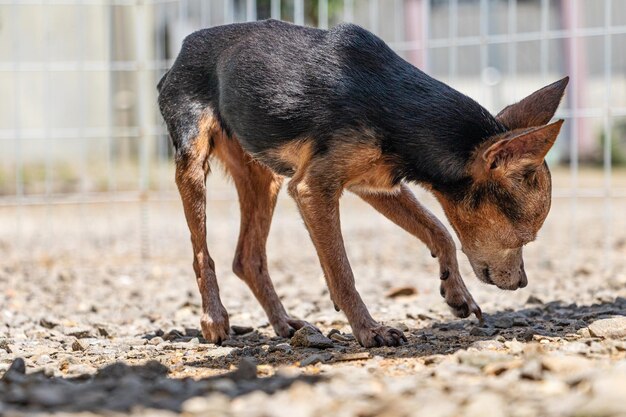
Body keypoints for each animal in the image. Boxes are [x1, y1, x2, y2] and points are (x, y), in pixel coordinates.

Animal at [156, 19, 564, 346]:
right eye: (524, 239)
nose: (523, 283)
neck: (401, 108)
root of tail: (182, 49)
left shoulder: (376, 185)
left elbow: (439, 230)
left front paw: (456, 291)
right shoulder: (313, 188)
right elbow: (342, 270)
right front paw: (369, 330)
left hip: (262, 175)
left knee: (248, 258)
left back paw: (284, 323)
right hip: (193, 163)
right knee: (202, 254)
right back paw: (214, 319)